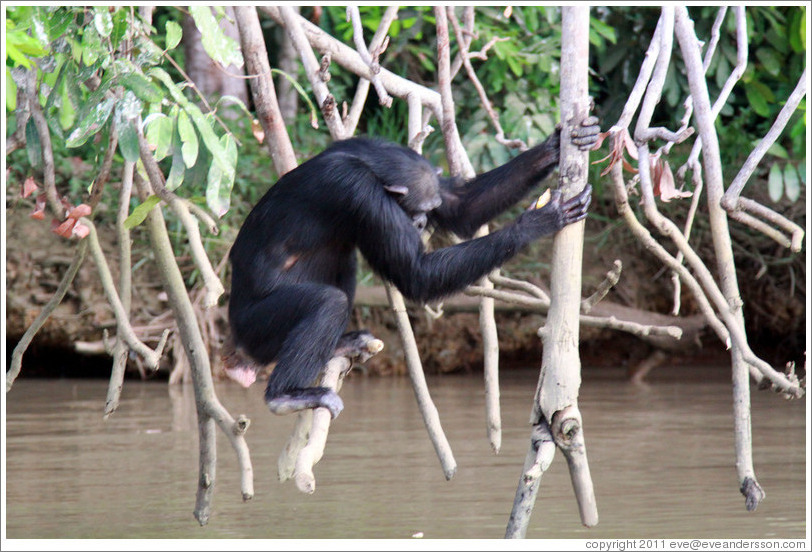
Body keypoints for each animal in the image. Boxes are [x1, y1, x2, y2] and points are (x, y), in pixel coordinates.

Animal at [225, 117, 600, 418]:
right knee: (326, 302)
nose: (421, 221)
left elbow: (462, 206)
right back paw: (287, 396)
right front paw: (537, 221)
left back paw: (340, 345)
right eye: (417, 208)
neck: (370, 164)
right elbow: (417, 273)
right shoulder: (357, 191)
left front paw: (555, 144)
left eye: (429, 208)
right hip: (257, 328)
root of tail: (237, 345)